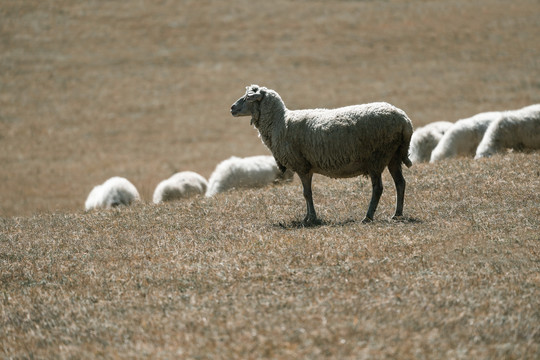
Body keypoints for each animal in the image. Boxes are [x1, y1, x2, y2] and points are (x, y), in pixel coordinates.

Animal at [229, 85, 414, 225]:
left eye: (248, 98)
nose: (232, 108)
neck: (280, 123)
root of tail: (404, 120)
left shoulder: (302, 166)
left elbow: (307, 193)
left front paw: (310, 218)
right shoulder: (307, 166)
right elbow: (307, 192)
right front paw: (308, 216)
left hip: (377, 156)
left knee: (378, 188)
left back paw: (368, 217)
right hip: (394, 156)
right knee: (400, 183)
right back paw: (397, 214)